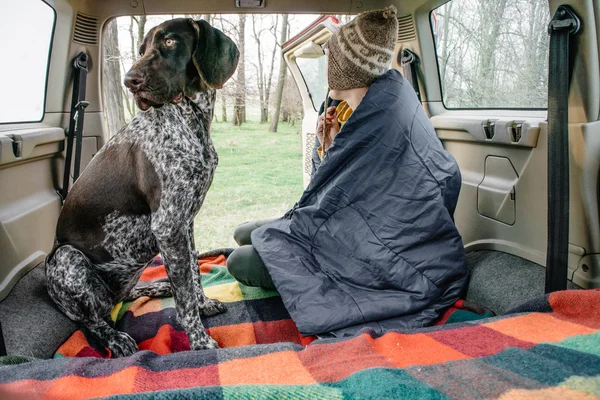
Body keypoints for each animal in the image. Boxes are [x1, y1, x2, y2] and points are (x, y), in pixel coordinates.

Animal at [44, 17, 239, 358]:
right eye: (141, 49)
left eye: (170, 42)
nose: (129, 81)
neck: (189, 120)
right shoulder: (168, 225)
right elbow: (184, 296)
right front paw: (200, 341)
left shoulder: (184, 221)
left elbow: (192, 270)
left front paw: (202, 303)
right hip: (68, 259)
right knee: (90, 320)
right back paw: (115, 338)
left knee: (124, 296)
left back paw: (157, 285)